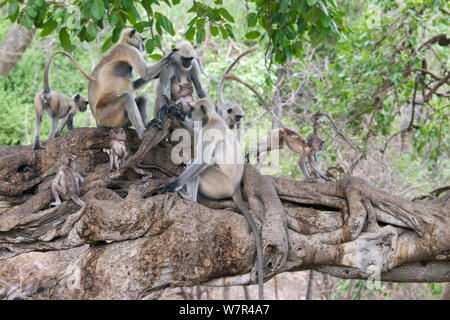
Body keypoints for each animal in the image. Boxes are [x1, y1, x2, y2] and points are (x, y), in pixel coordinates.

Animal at [158, 97, 264, 300]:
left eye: (192, 109)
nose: (188, 113)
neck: (214, 119)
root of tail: (234, 187)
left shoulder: (210, 131)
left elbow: (203, 160)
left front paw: (173, 185)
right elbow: (195, 133)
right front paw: (175, 114)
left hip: (219, 184)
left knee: (199, 166)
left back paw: (188, 196)